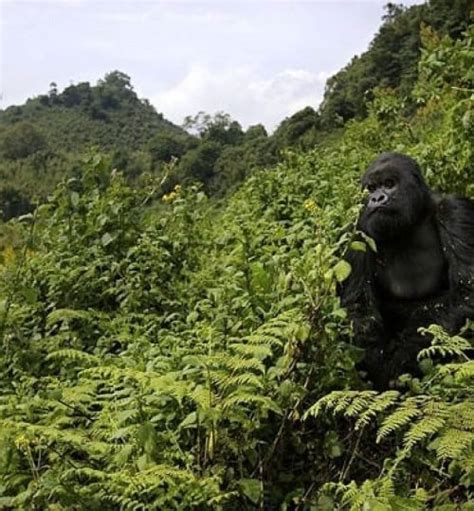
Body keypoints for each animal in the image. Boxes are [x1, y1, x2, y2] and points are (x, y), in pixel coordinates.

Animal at [338, 154, 474, 390]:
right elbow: (358, 308)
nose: (377, 198)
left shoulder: (455, 211)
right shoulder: (357, 231)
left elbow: (465, 293)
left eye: (389, 184)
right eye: (371, 188)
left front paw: (400, 364)